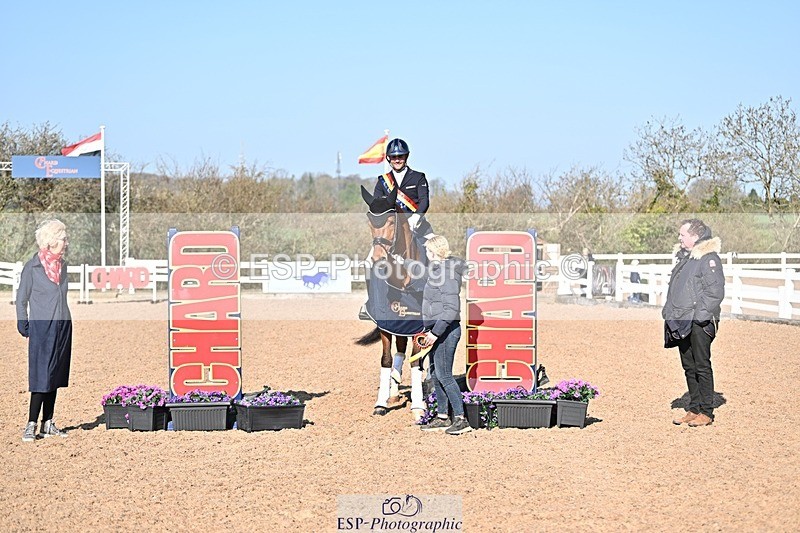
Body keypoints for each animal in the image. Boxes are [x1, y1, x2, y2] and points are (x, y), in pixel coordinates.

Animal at [356, 185, 427, 419]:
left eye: (390, 220)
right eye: (370, 220)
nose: (378, 259)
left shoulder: (419, 327)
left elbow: (417, 360)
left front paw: (418, 407)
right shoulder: (386, 325)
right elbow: (387, 359)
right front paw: (381, 403)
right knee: (399, 352)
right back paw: (394, 391)